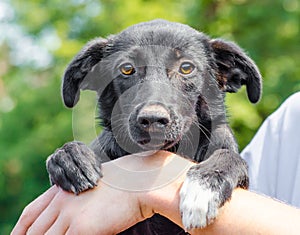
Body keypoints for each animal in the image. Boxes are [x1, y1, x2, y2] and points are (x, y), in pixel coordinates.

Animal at [46, 19, 260, 233]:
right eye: (127, 68)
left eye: (186, 67)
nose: (152, 119)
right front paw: (71, 159)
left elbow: (230, 157)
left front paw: (204, 186)